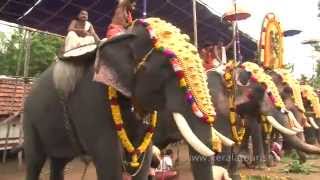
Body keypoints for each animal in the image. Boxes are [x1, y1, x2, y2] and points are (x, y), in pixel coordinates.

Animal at [24, 17, 222, 180]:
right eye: (166, 67)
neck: (126, 35)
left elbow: (143, 159)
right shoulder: (92, 100)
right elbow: (109, 159)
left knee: (59, 162)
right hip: (29, 119)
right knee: (34, 161)